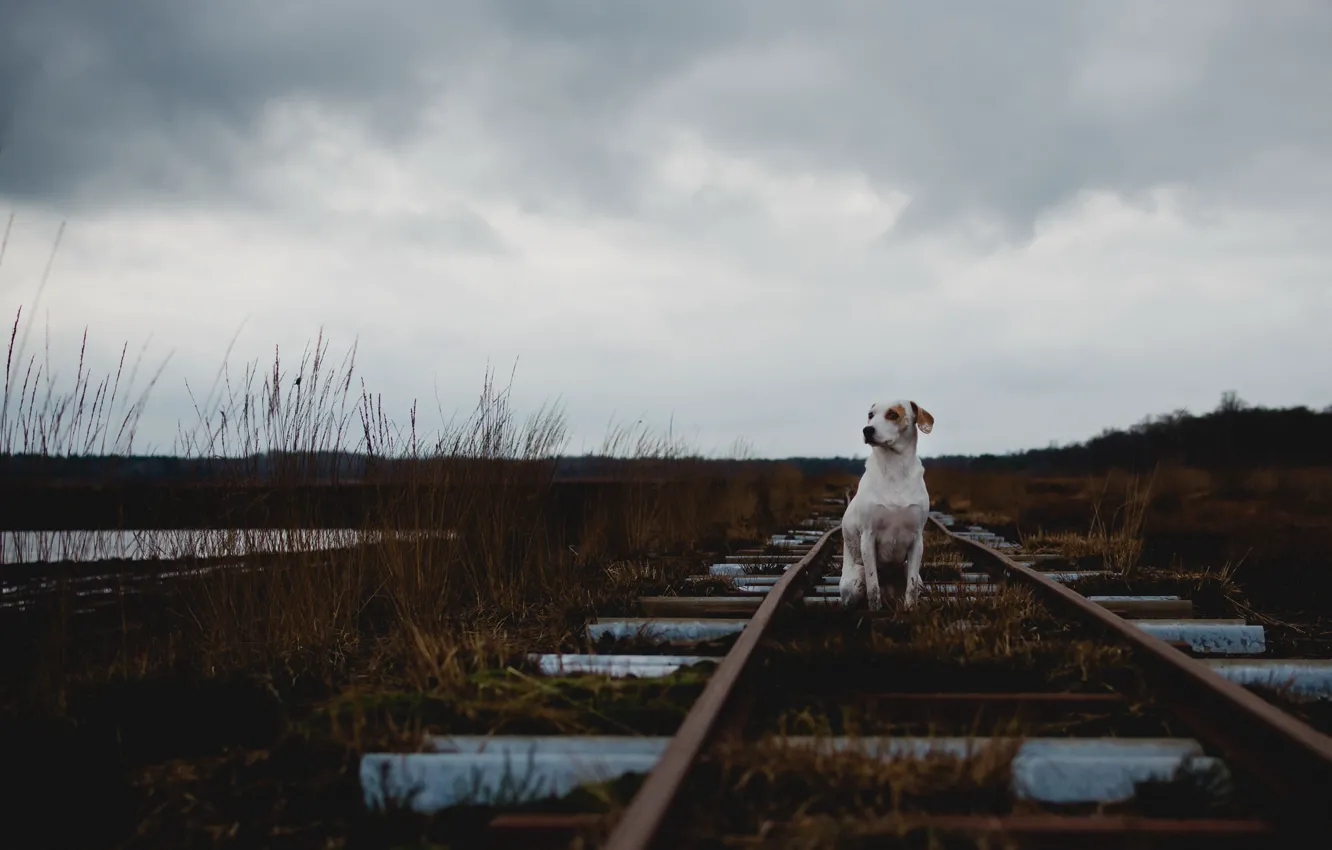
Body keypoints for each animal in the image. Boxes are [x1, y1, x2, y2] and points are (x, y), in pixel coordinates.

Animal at [841, 402, 937, 612]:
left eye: (893, 414)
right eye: (870, 415)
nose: (867, 430)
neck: (895, 467)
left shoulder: (917, 539)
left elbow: (910, 587)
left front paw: (911, 609)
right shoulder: (868, 537)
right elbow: (873, 586)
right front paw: (875, 611)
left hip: (913, 574)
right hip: (853, 582)